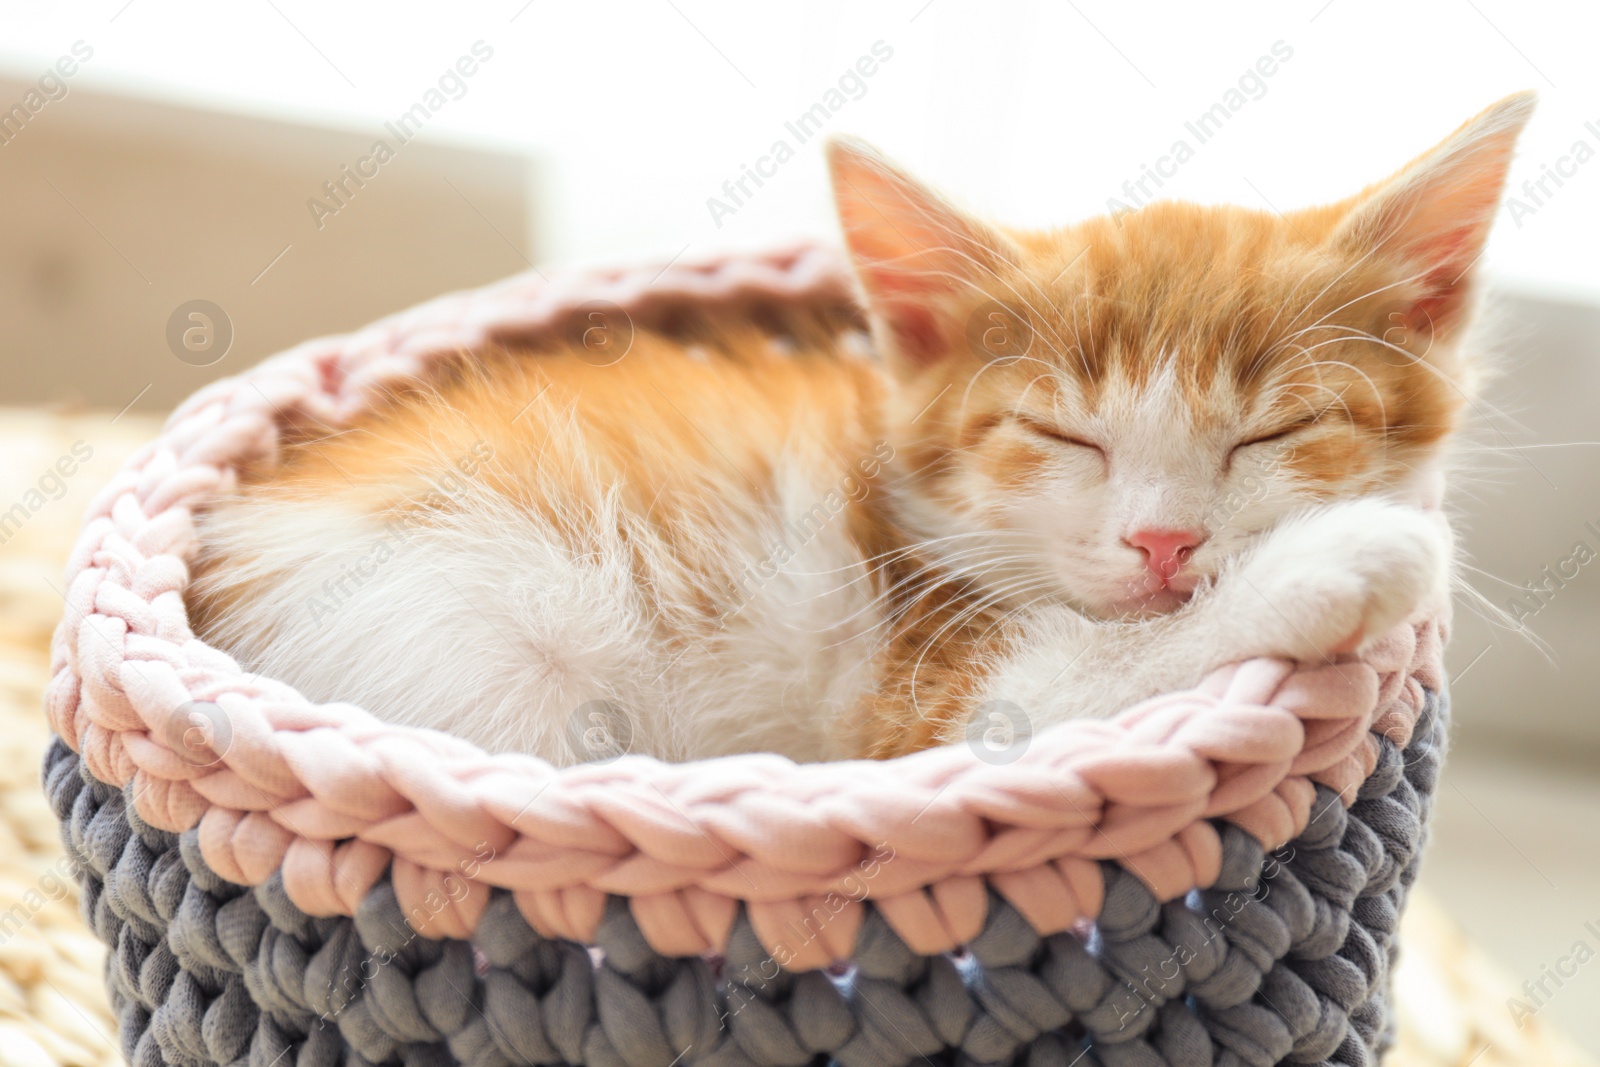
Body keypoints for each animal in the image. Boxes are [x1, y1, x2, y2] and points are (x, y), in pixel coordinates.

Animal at [193, 91, 1529, 758]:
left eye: (1274, 430)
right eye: (1062, 437)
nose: (1164, 544)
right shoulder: (931, 703)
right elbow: (1090, 676)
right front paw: (1348, 557)